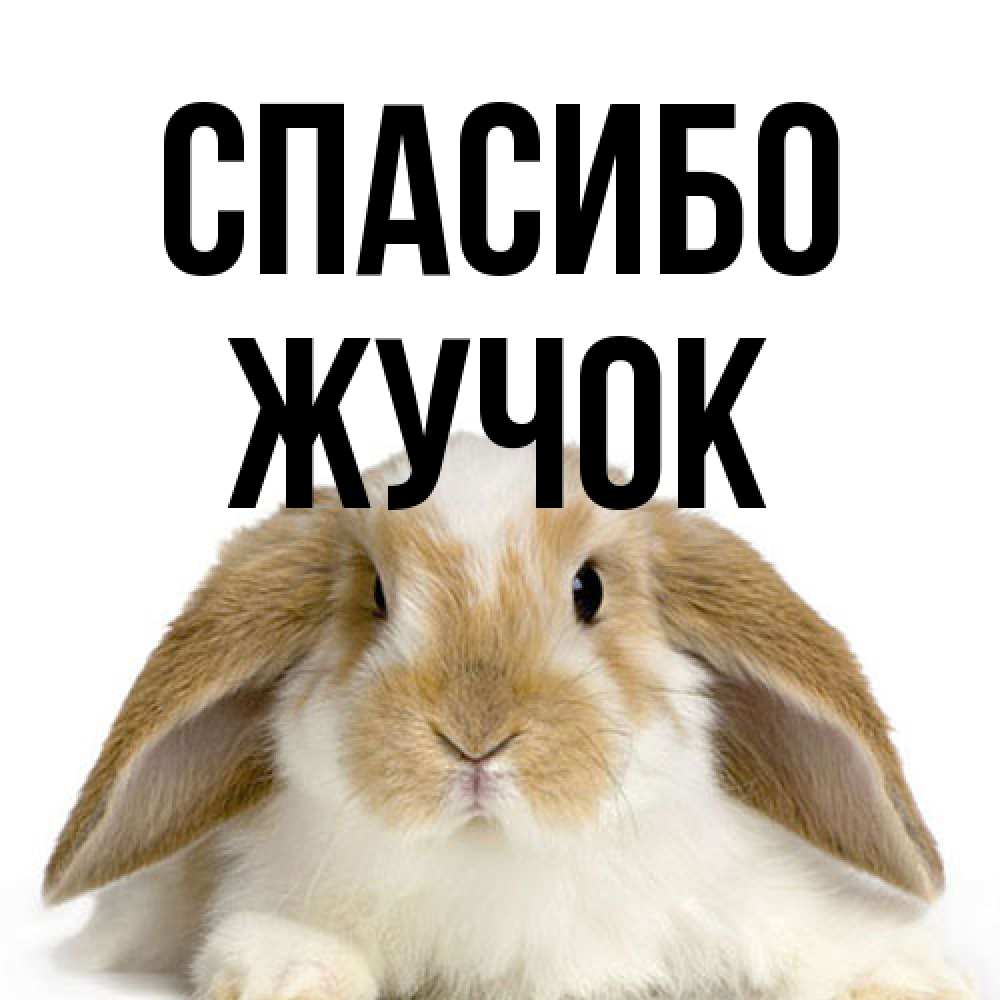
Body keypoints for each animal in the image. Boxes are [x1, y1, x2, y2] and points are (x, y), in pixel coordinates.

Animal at [45, 434, 975, 1000]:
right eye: (376, 596)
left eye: (589, 589)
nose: (475, 737)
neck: (496, 857)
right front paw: (292, 976)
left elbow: (818, 939)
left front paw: (911, 978)